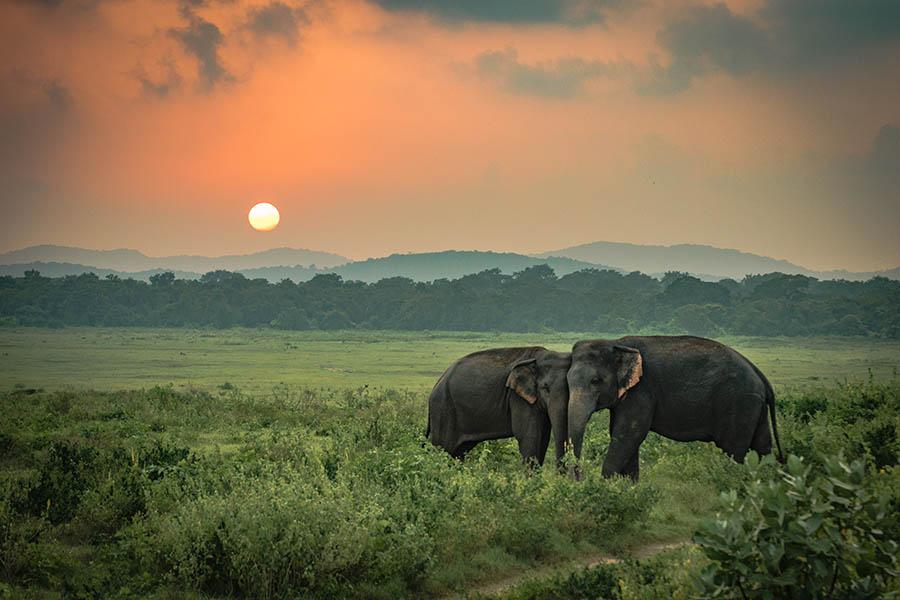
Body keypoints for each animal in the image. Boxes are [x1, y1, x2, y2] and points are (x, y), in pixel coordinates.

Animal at [426, 347, 571, 467]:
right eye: (545, 388)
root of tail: (437, 383)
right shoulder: (518, 398)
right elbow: (529, 437)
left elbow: (543, 438)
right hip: (443, 409)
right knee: (443, 448)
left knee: (458, 452)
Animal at [566, 336, 784, 480]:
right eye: (567, 381)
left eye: (596, 381)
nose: (580, 478)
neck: (615, 342)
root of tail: (760, 375)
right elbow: (623, 436)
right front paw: (628, 488)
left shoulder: (642, 391)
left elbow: (628, 434)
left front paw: (605, 486)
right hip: (754, 407)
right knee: (762, 446)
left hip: (739, 404)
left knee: (733, 450)